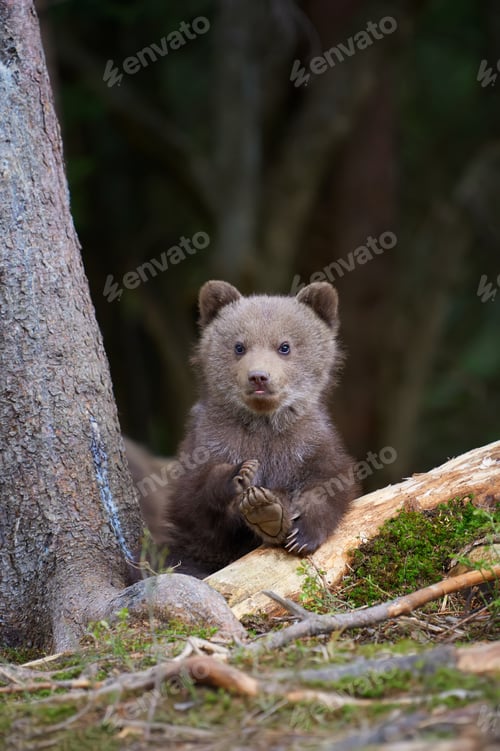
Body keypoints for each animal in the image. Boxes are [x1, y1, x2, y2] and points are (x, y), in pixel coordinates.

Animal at [129, 280, 359, 578]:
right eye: (239, 346)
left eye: (284, 346)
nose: (259, 376)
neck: (263, 423)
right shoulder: (208, 443)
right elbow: (197, 501)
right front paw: (243, 477)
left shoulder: (309, 443)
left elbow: (330, 482)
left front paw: (298, 531)